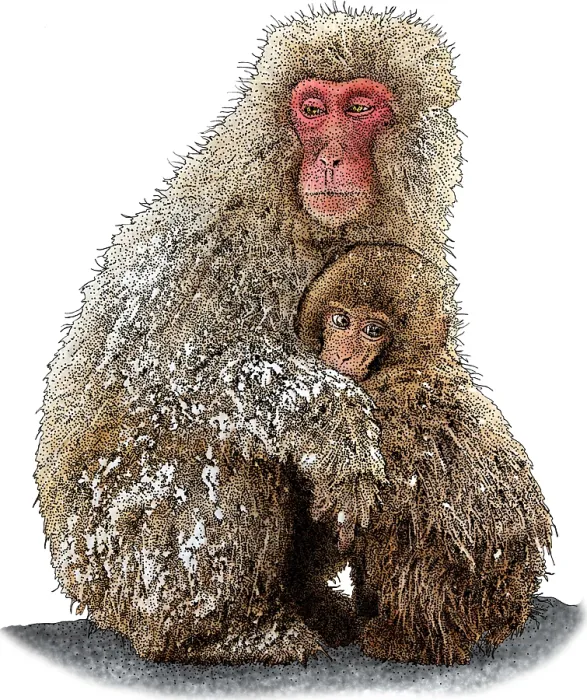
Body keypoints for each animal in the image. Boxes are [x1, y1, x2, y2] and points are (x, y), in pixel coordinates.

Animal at [35, 9, 468, 664]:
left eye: (359, 107)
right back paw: (221, 633)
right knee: (218, 448)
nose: (331, 157)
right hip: (114, 556)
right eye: (312, 109)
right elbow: (166, 370)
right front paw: (338, 424)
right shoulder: (215, 236)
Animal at [297, 244, 553, 666]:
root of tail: (509, 605)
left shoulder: (390, 406)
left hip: (458, 596)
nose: (343, 355)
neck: (406, 361)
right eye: (340, 320)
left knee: (410, 538)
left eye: (373, 330)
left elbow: (365, 510)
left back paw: (412, 641)